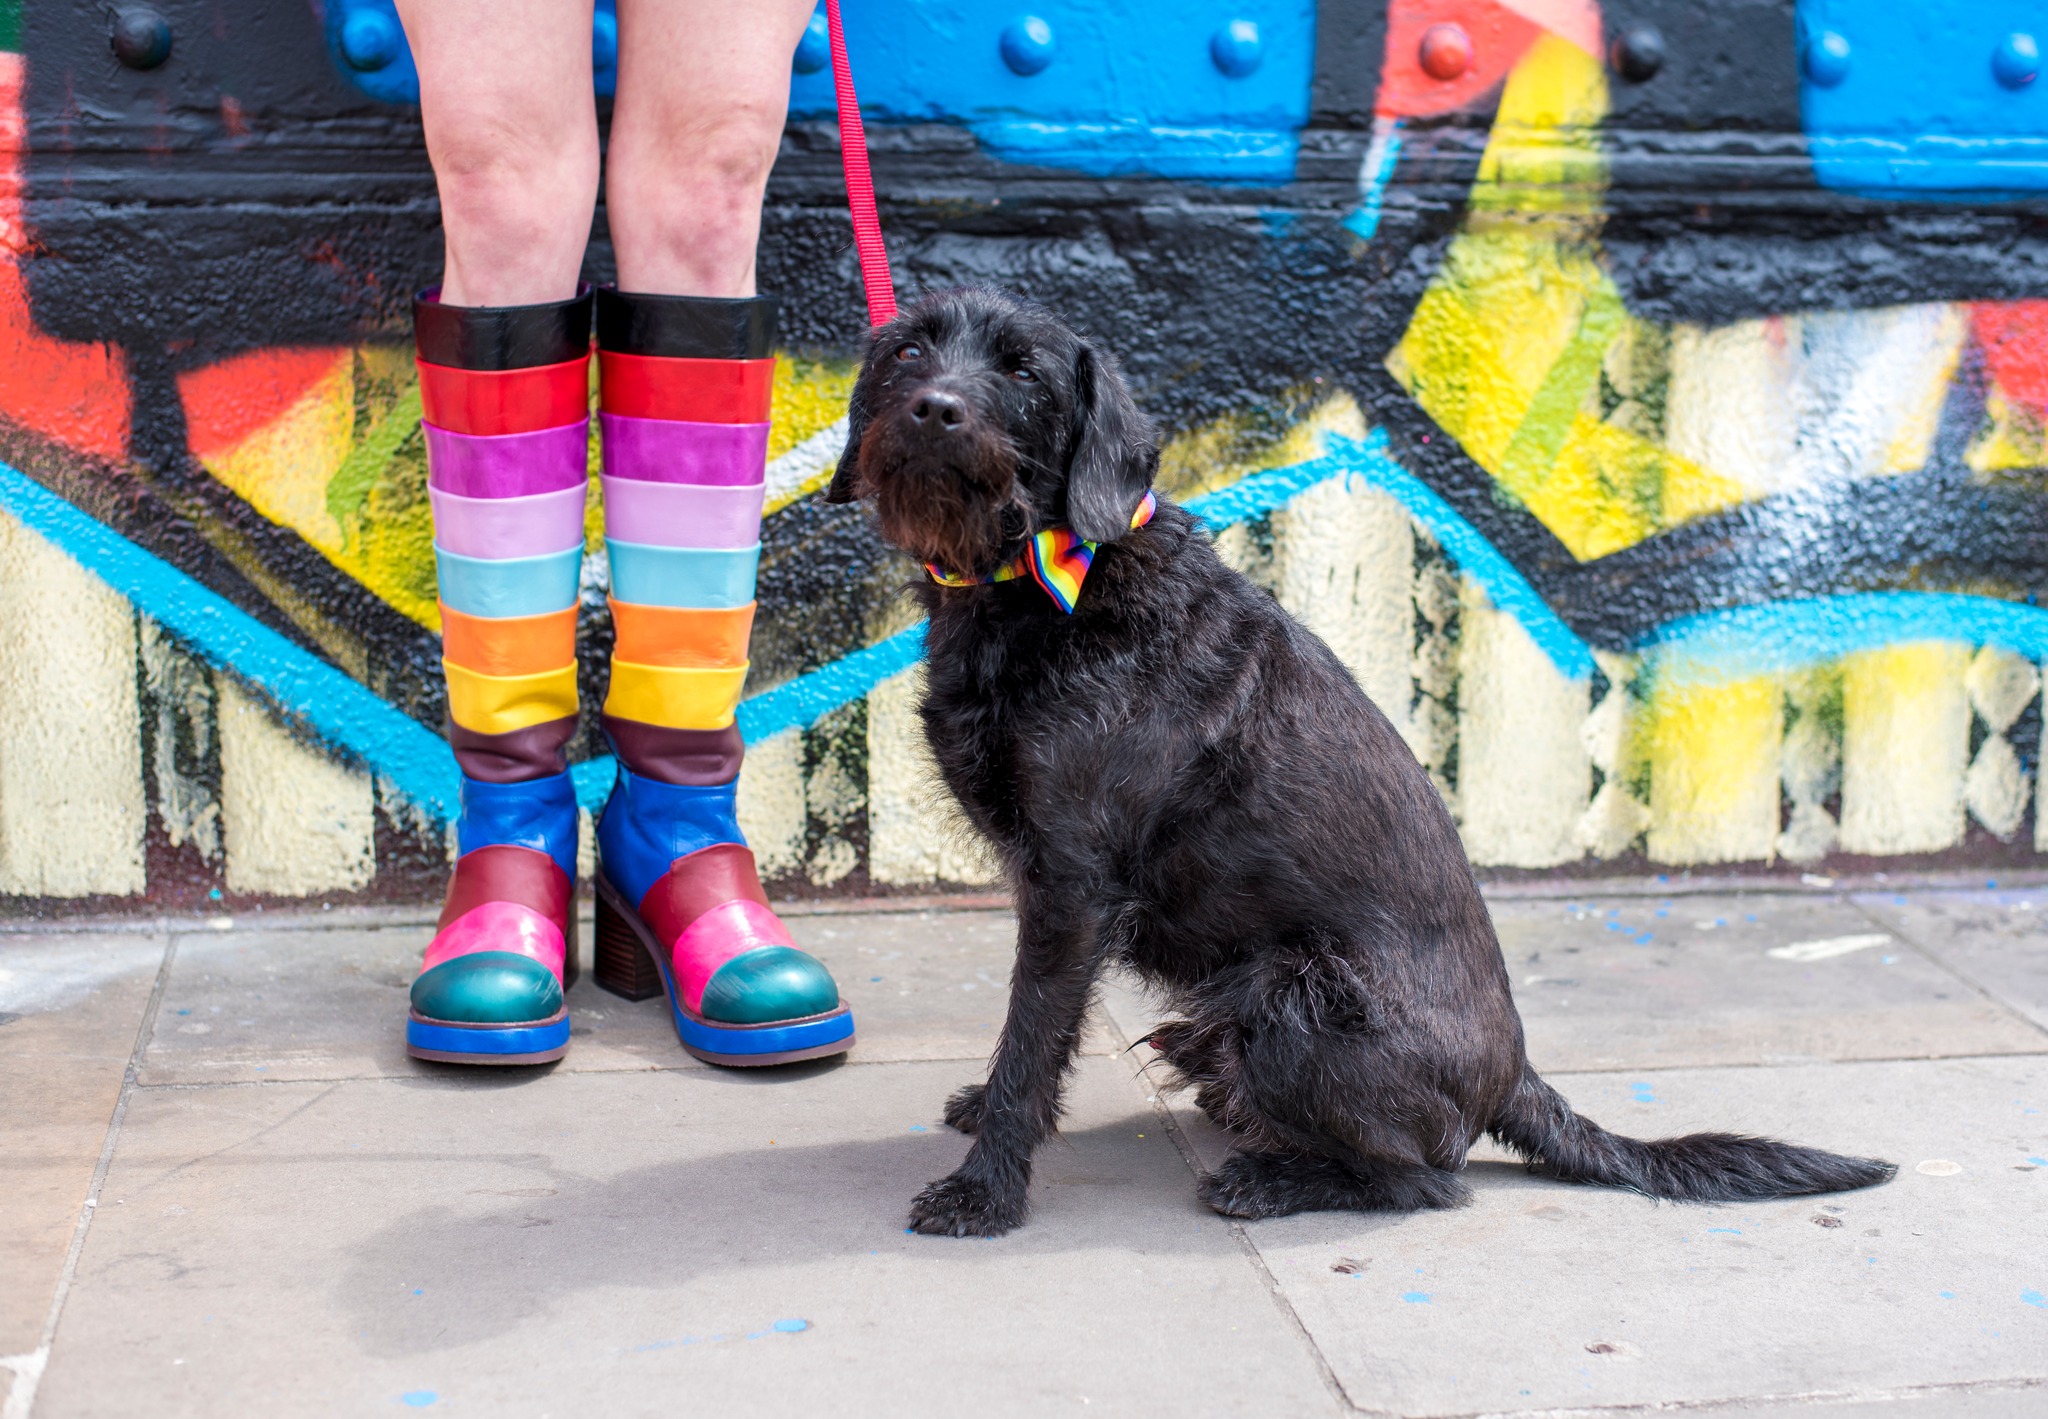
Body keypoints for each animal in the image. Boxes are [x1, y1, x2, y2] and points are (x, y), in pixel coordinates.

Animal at [823, 290, 1892, 1236]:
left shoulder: (1072, 885)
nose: (934, 408)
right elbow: (1028, 1038)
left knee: (1430, 1178)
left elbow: (1034, 1038)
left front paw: (986, 1189)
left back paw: (1272, 1178)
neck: (1047, 577)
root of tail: (1514, 1079)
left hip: (1295, 997)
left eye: (1023, 372)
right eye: (908, 352)